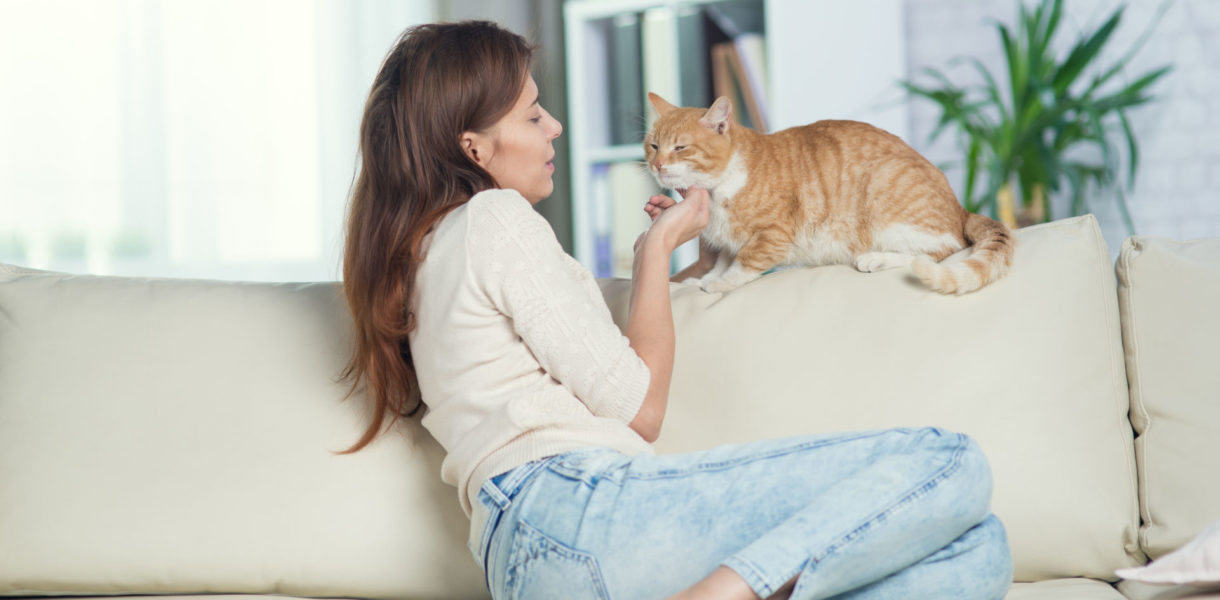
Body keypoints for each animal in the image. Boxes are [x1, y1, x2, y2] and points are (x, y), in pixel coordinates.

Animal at [644, 93, 1015, 295]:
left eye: (680, 148)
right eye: (653, 146)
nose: (658, 165)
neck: (719, 188)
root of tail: (960, 207)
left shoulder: (773, 235)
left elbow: (744, 264)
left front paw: (719, 284)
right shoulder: (726, 241)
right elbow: (722, 260)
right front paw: (702, 280)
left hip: (885, 198)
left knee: (939, 251)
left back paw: (875, 258)